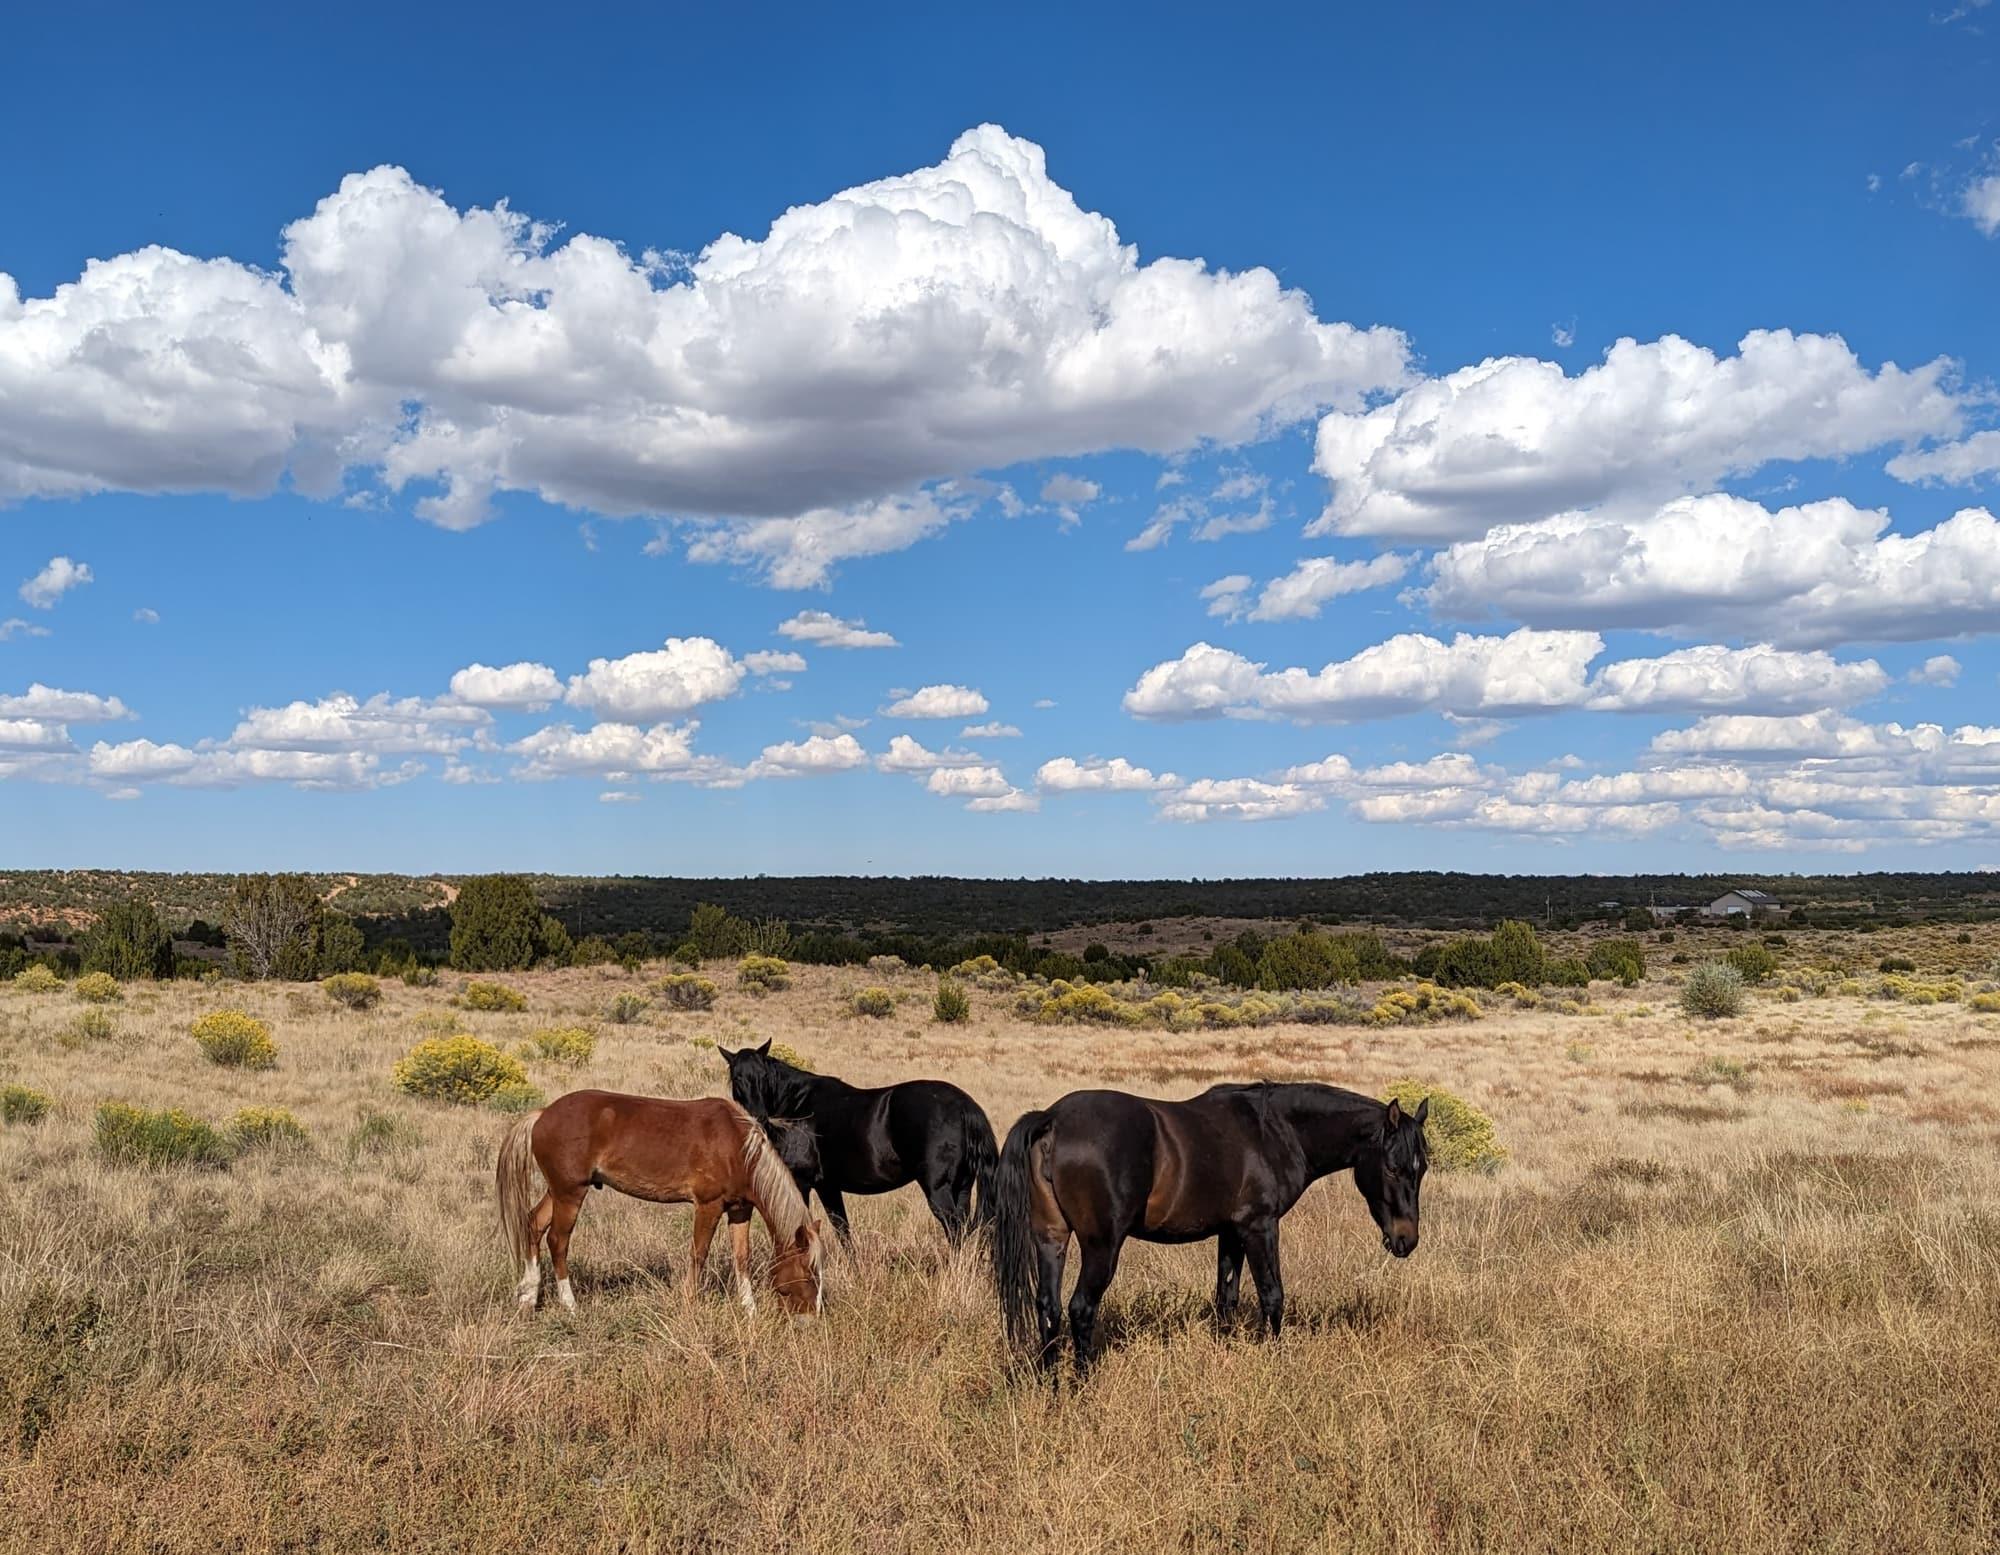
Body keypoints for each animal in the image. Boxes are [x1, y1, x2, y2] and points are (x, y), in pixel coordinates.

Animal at [496, 1089, 824, 1316]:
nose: (813, 1317)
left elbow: (741, 1258)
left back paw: (528, 1298)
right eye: (810, 1273)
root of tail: (542, 1114)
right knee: (557, 1241)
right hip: (570, 1193)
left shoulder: (740, 1210)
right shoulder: (708, 1205)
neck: (739, 1148)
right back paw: (571, 1305)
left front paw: (750, 1311)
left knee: (533, 1225)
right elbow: (698, 1254)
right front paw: (690, 1303)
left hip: (559, 1191)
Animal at [721, 1041, 999, 1247]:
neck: (796, 1107)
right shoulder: (828, 1187)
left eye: (763, 1076)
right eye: (737, 1077)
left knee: (954, 1231)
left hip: (939, 1189)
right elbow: (842, 1231)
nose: (758, 1118)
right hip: (962, 1187)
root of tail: (964, 1105)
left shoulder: (801, 1183)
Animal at [992, 1083, 1429, 1371]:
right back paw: (1082, 1387)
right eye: (1393, 1167)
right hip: (1102, 1247)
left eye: (1421, 1168)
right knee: (1081, 1309)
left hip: (1051, 1240)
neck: (1273, 1131)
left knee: (1048, 1308)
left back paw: (1052, 1387)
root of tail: (1052, 1119)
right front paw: (1277, 1361)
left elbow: (1226, 1299)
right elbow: (1272, 1296)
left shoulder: (1230, 1232)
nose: (1406, 1239)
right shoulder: (1259, 1227)